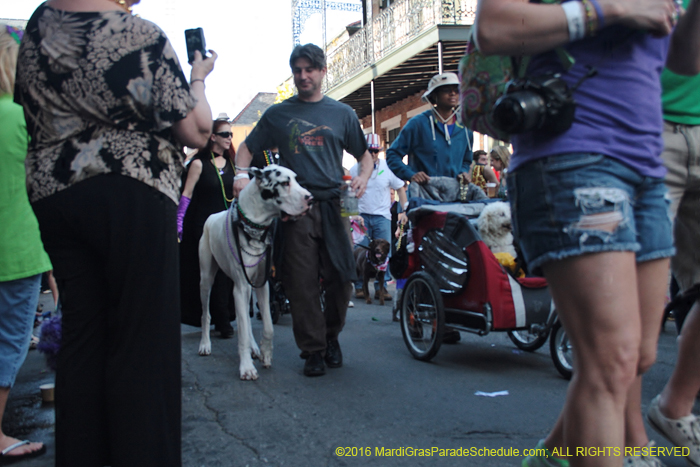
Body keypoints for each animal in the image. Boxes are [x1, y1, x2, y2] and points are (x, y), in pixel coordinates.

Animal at [197, 166, 312, 382]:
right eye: (285, 183)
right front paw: (247, 368)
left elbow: (267, 326)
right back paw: (205, 344)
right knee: (206, 313)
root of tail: (210, 217)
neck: (255, 225)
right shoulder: (240, 287)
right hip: (206, 279)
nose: (311, 199)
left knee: (247, 321)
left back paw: (254, 347)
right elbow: (241, 331)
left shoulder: (262, 284)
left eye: (296, 179)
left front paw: (265, 352)